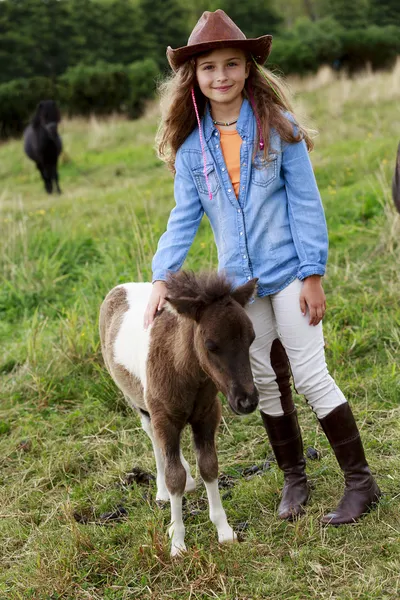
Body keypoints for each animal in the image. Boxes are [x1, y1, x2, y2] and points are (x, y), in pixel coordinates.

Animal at [100, 270, 260, 556]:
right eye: (210, 345)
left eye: (251, 338)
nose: (247, 401)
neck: (185, 370)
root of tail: (120, 287)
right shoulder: (164, 418)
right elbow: (174, 476)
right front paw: (177, 542)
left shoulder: (207, 414)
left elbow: (209, 466)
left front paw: (224, 530)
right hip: (141, 404)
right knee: (153, 438)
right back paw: (162, 491)